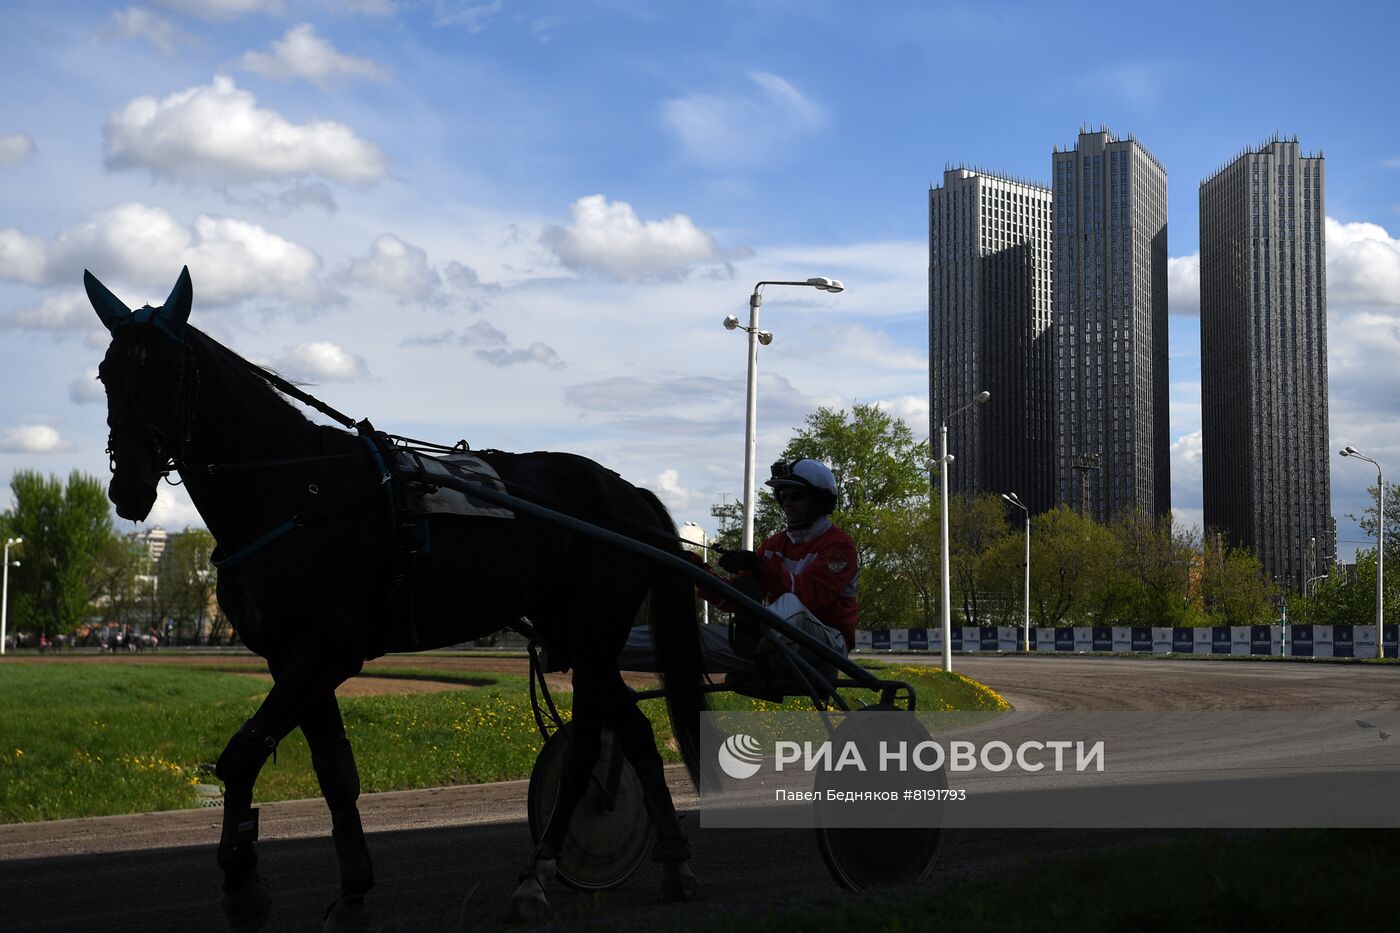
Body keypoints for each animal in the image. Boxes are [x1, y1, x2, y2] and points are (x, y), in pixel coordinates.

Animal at [81, 264, 705, 924]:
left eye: (172, 373)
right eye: (107, 372)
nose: (130, 486)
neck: (300, 489)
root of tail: (628, 494)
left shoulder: (331, 646)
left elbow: (243, 754)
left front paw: (242, 880)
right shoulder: (288, 654)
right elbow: (333, 771)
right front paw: (352, 888)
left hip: (591, 630)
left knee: (587, 746)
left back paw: (536, 875)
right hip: (575, 633)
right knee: (634, 731)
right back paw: (674, 862)